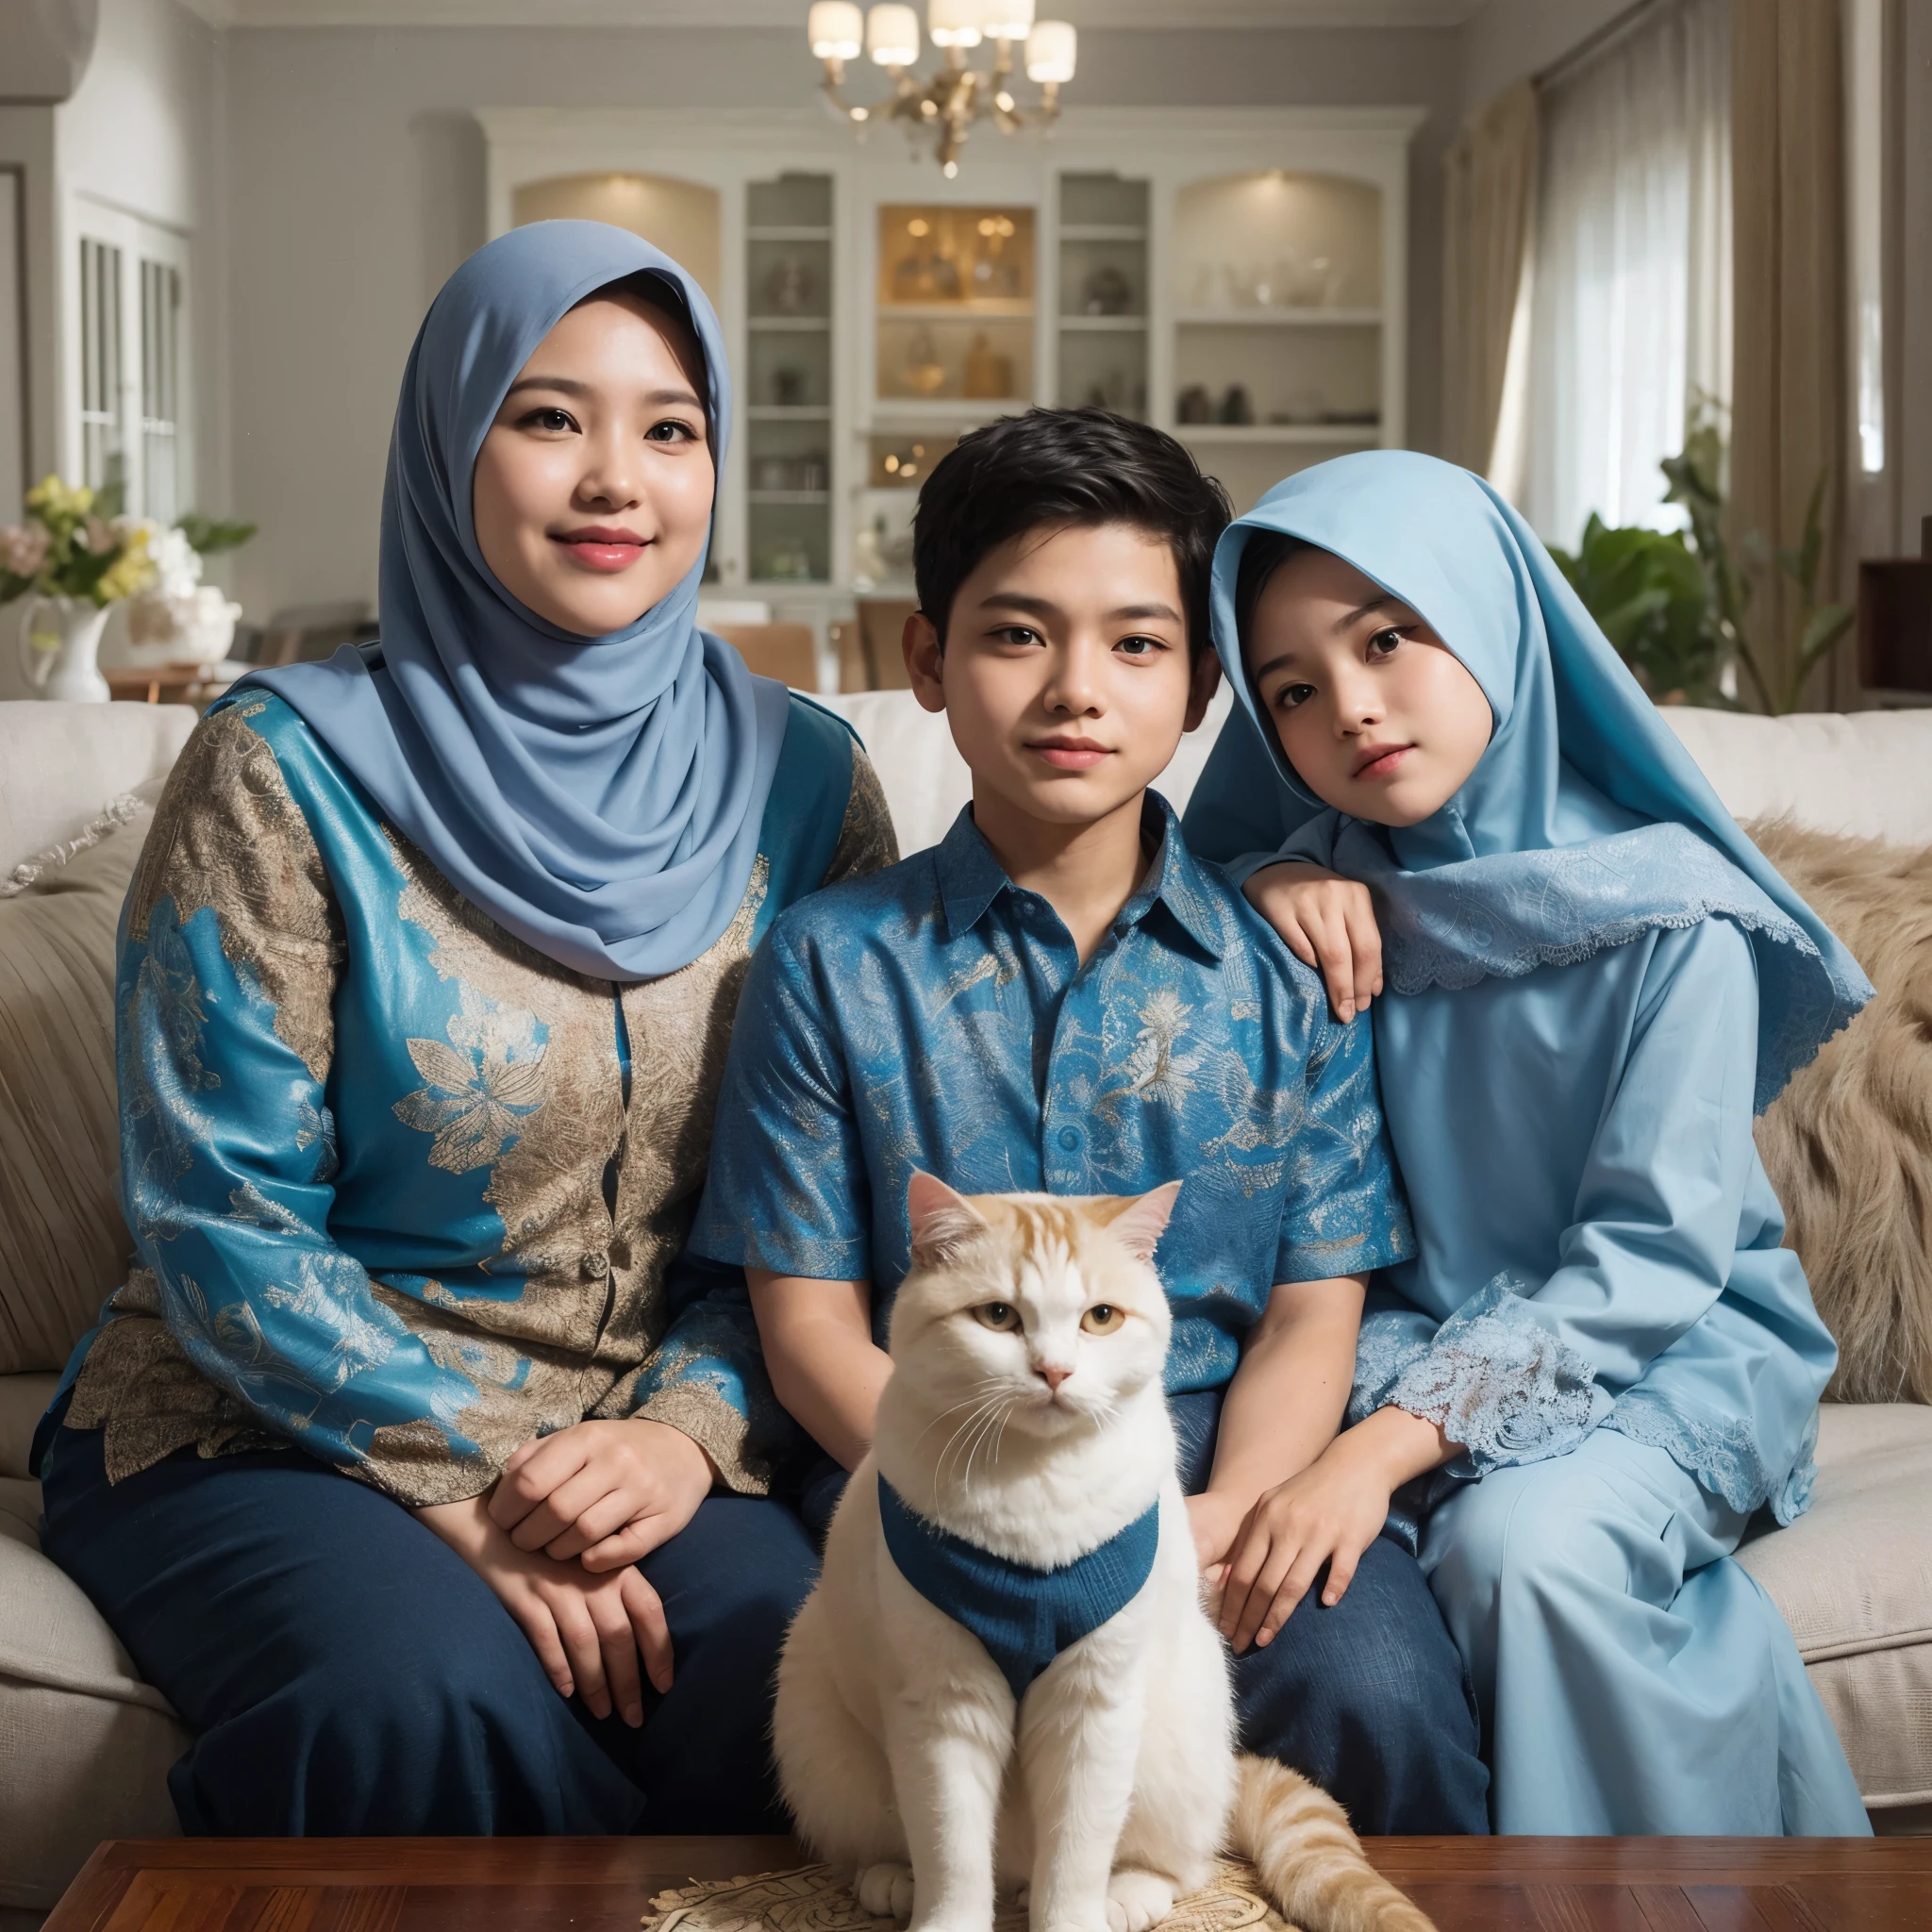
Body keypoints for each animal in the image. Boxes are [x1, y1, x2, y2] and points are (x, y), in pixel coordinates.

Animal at [773, 1166, 1437, 1932]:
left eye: (1101, 1318)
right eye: (996, 1317)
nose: (1055, 1372)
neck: (1034, 1490)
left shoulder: (1095, 1703)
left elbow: (1076, 1856)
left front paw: (1073, 1914)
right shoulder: (943, 1707)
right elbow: (952, 1852)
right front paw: (946, 1916)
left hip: (1175, 1744)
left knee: (1183, 1861)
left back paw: (1126, 1893)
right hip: (823, 1738)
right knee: (901, 1849)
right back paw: (894, 1880)